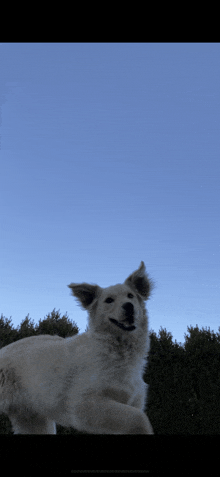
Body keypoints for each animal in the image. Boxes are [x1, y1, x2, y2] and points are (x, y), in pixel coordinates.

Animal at [0, 262, 154, 434]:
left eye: (130, 296)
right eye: (109, 300)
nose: (129, 306)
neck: (118, 351)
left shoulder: (129, 404)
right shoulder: (83, 404)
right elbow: (141, 418)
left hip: (34, 422)